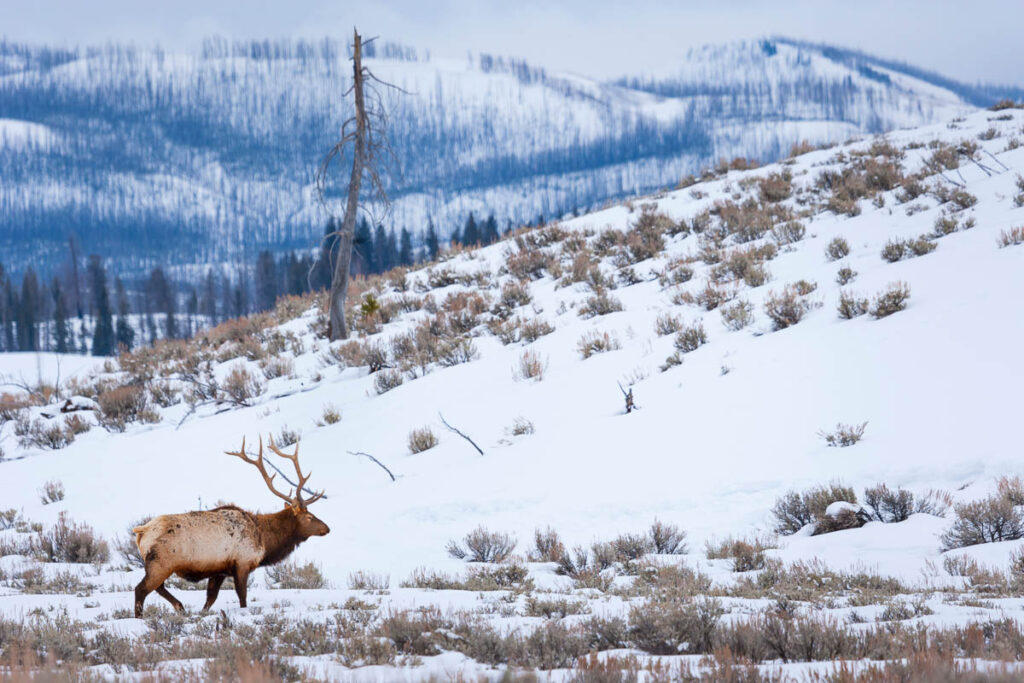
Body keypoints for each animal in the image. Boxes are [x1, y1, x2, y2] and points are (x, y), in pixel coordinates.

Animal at [132, 438, 329, 618]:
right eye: (309, 517)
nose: (327, 528)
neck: (265, 540)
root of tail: (141, 531)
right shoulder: (242, 563)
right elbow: (242, 596)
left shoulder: (219, 570)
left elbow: (210, 598)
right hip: (161, 563)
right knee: (141, 589)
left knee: (157, 588)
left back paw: (180, 607)